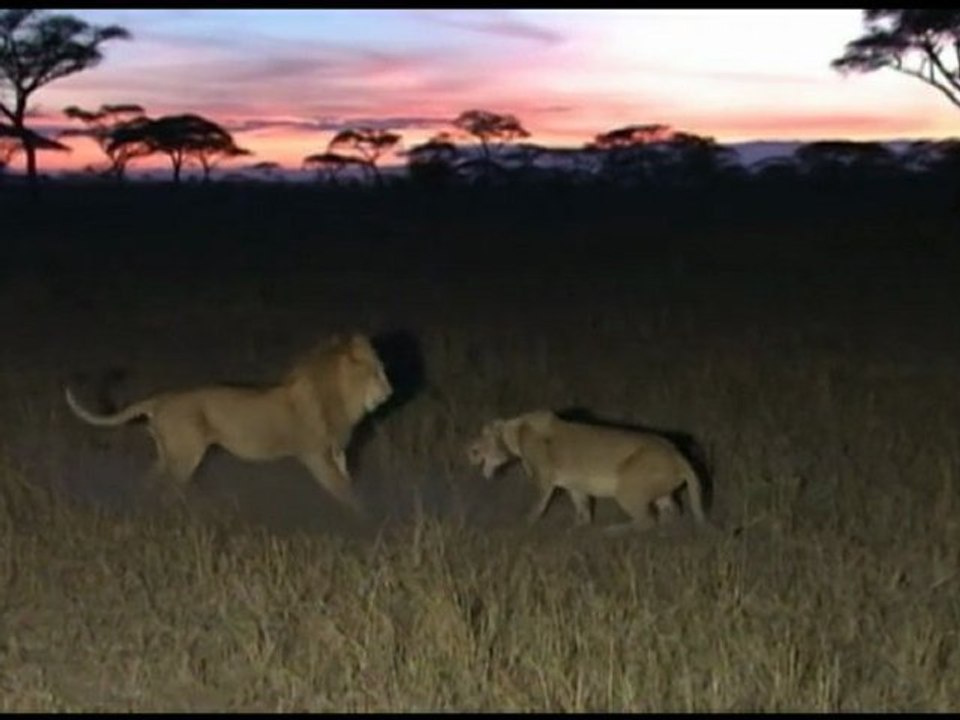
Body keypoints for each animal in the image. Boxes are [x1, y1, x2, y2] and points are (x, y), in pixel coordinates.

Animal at [64, 333, 392, 515]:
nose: (390, 391)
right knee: (169, 490)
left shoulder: (337, 453)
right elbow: (344, 490)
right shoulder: (315, 455)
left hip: (170, 455)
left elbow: (349, 483)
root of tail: (161, 399)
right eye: (377, 372)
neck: (338, 394)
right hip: (186, 457)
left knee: (150, 481)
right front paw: (364, 519)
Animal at [466, 410, 709, 534]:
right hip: (660, 491)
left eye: (476, 448)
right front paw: (578, 527)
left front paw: (525, 524)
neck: (514, 434)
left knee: (648, 520)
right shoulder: (574, 484)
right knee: (674, 510)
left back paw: (615, 530)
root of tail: (678, 455)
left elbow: (538, 505)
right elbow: (582, 506)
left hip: (628, 487)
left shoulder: (544, 478)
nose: (468, 453)